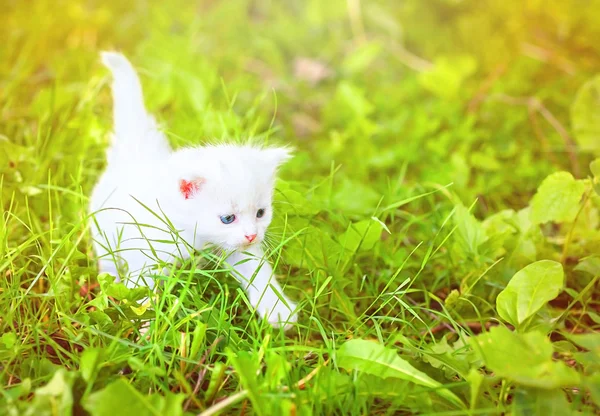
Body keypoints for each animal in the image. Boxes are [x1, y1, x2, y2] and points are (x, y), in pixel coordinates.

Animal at [91, 51, 298, 328]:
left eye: (260, 213)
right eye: (227, 218)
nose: (252, 235)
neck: (194, 235)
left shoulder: (236, 250)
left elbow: (258, 271)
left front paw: (278, 309)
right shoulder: (146, 252)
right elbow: (141, 291)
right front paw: (145, 327)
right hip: (103, 231)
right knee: (108, 258)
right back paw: (110, 280)